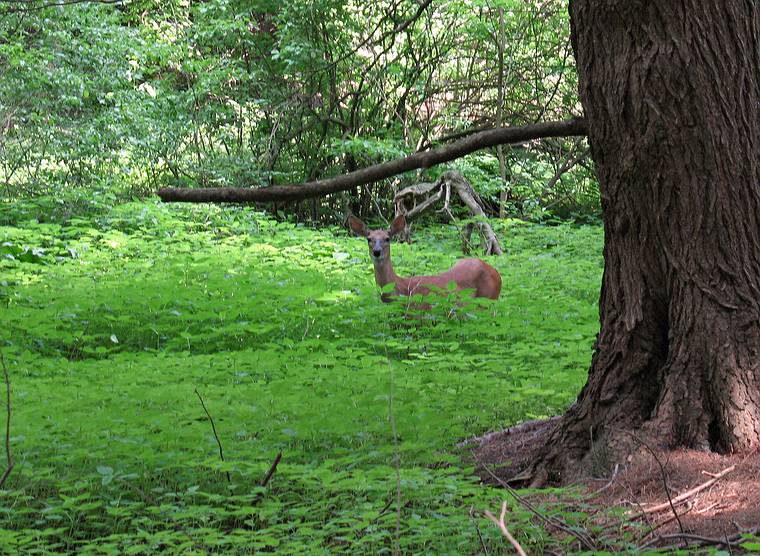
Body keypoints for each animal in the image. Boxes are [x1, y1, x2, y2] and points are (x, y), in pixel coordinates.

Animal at [348, 214, 502, 302]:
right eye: (369, 239)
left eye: (387, 238)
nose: (377, 252)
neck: (401, 288)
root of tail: (496, 273)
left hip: (489, 299)